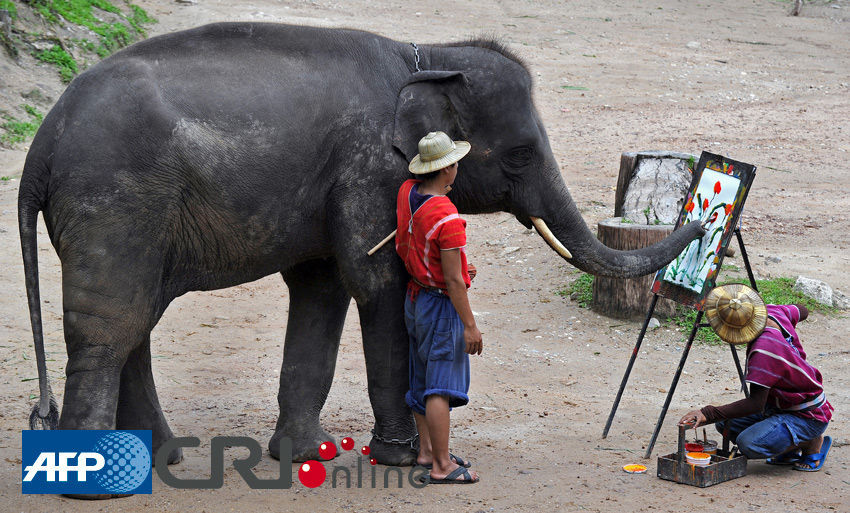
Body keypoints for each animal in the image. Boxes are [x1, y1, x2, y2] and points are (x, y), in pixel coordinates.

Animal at [18, 22, 704, 466]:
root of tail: (43, 141)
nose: (704, 221)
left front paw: (305, 455)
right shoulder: (369, 166)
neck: (425, 56)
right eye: (520, 154)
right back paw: (94, 478)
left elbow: (322, 290)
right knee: (108, 325)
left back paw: (161, 459)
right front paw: (398, 459)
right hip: (115, 199)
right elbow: (376, 284)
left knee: (136, 318)